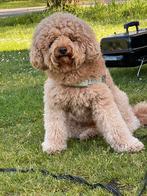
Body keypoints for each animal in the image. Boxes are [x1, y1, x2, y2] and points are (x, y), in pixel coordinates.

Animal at [30, 12, 147, 154]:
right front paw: (53, 146)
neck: (72, 75)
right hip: (72, 125)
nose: (62, 49)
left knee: (128, 124)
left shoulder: (102, 100)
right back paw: (88, 133)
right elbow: (54, 126)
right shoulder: (54, 104)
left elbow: (114, 125)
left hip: (121, 100)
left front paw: (128, 144)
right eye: (52, 41)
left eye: (71, 38)